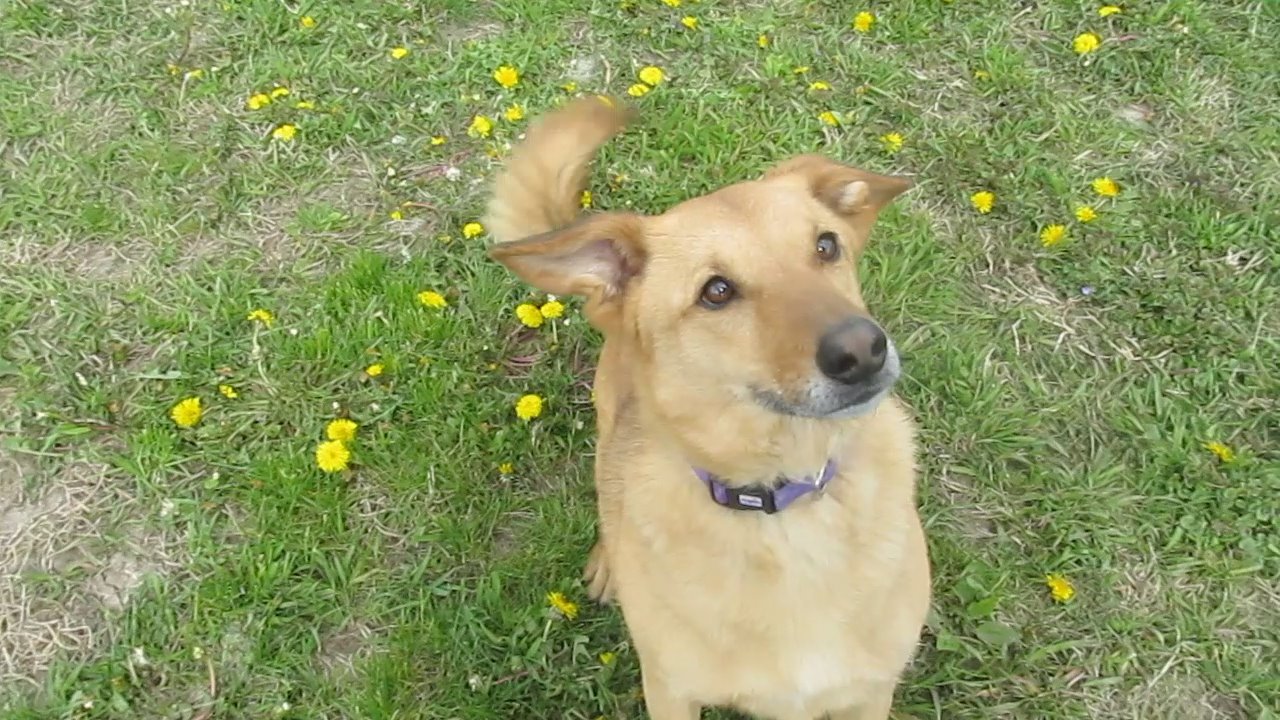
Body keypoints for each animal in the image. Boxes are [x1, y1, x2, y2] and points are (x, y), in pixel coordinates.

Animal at [483, 96, 926, 717]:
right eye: (717, 291)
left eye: (826, 245)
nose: (862, 351)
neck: (785, 510)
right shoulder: (671, 690)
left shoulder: (869, 693)